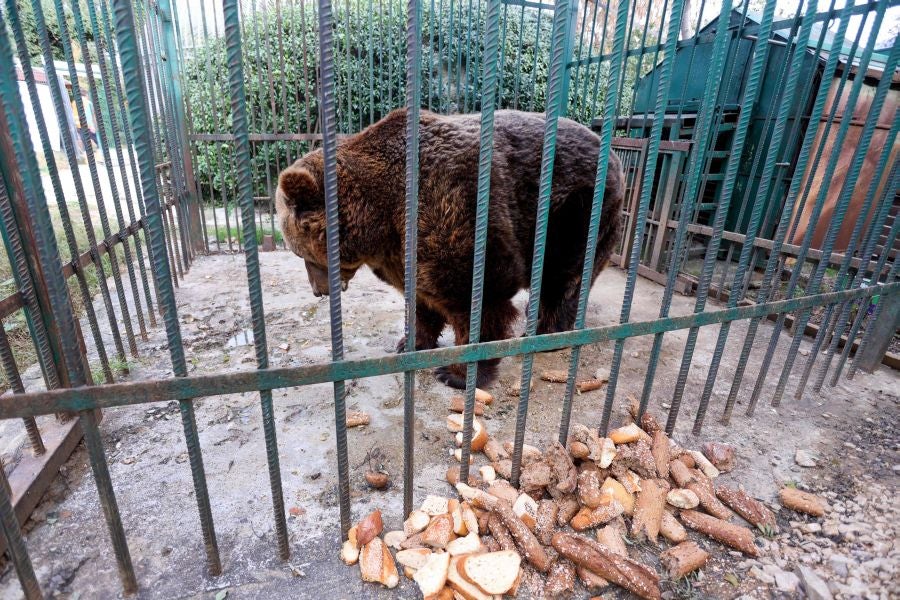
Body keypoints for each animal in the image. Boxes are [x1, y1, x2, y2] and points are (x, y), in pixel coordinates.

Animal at [276, 108, 624, 389]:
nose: (318, 290)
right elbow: (422, 301)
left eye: (301, 255)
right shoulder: (402, 253)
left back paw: (546, 334)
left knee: (564, 278)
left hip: (575, 212)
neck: (380, 217)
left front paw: (456, 373)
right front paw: (410, 343)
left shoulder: (452, 207)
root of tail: (614, 155)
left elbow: (478, 297)